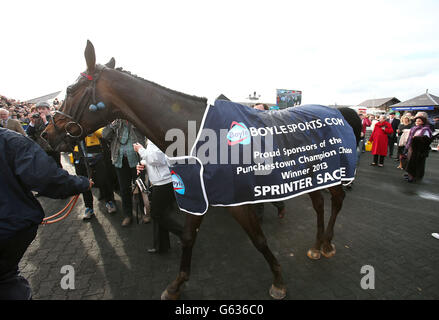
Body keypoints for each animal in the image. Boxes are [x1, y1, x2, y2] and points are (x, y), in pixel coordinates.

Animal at [43, 40, 362, 300]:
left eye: (70, 89)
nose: (48, 134)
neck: (199, 134)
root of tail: (338, 112)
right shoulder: (195, 194)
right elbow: (187, 236)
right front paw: (175, 285)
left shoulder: (238, 203)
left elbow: (259, 239)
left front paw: (278, 280)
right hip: (310, 175)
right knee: (319, 204)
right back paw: (318, 244)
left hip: (332, 173)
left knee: (337, 201)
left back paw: (327, 244)